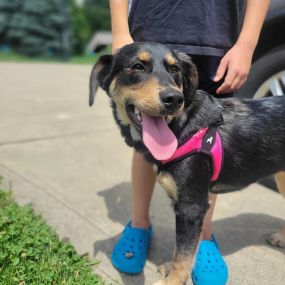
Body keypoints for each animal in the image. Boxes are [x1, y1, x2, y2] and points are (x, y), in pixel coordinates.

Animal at [89, 42, 284, 284]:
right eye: (137, 66)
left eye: (175, 70)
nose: (175, 99)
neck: (181, 127)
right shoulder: (183, 206)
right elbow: (181, 249)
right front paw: (168, 267)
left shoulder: (192, 207)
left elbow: (183, 256)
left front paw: (172, 280)